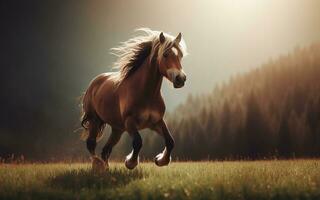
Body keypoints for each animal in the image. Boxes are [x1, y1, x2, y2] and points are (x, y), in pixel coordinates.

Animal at [80, 28, 188, 170]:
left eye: (180, 55)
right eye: (165, 54)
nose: (180, 79)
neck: (146, 94)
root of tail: (94, 83)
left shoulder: (157, 122)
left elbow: (170, 141)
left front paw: (160, 160)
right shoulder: (130, 122)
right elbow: (138, 142)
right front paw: (130, 162)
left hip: (117, 129)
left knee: (105, 150)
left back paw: (106, 169)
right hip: (95, 120)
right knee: (91, 144)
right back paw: (98, 165)